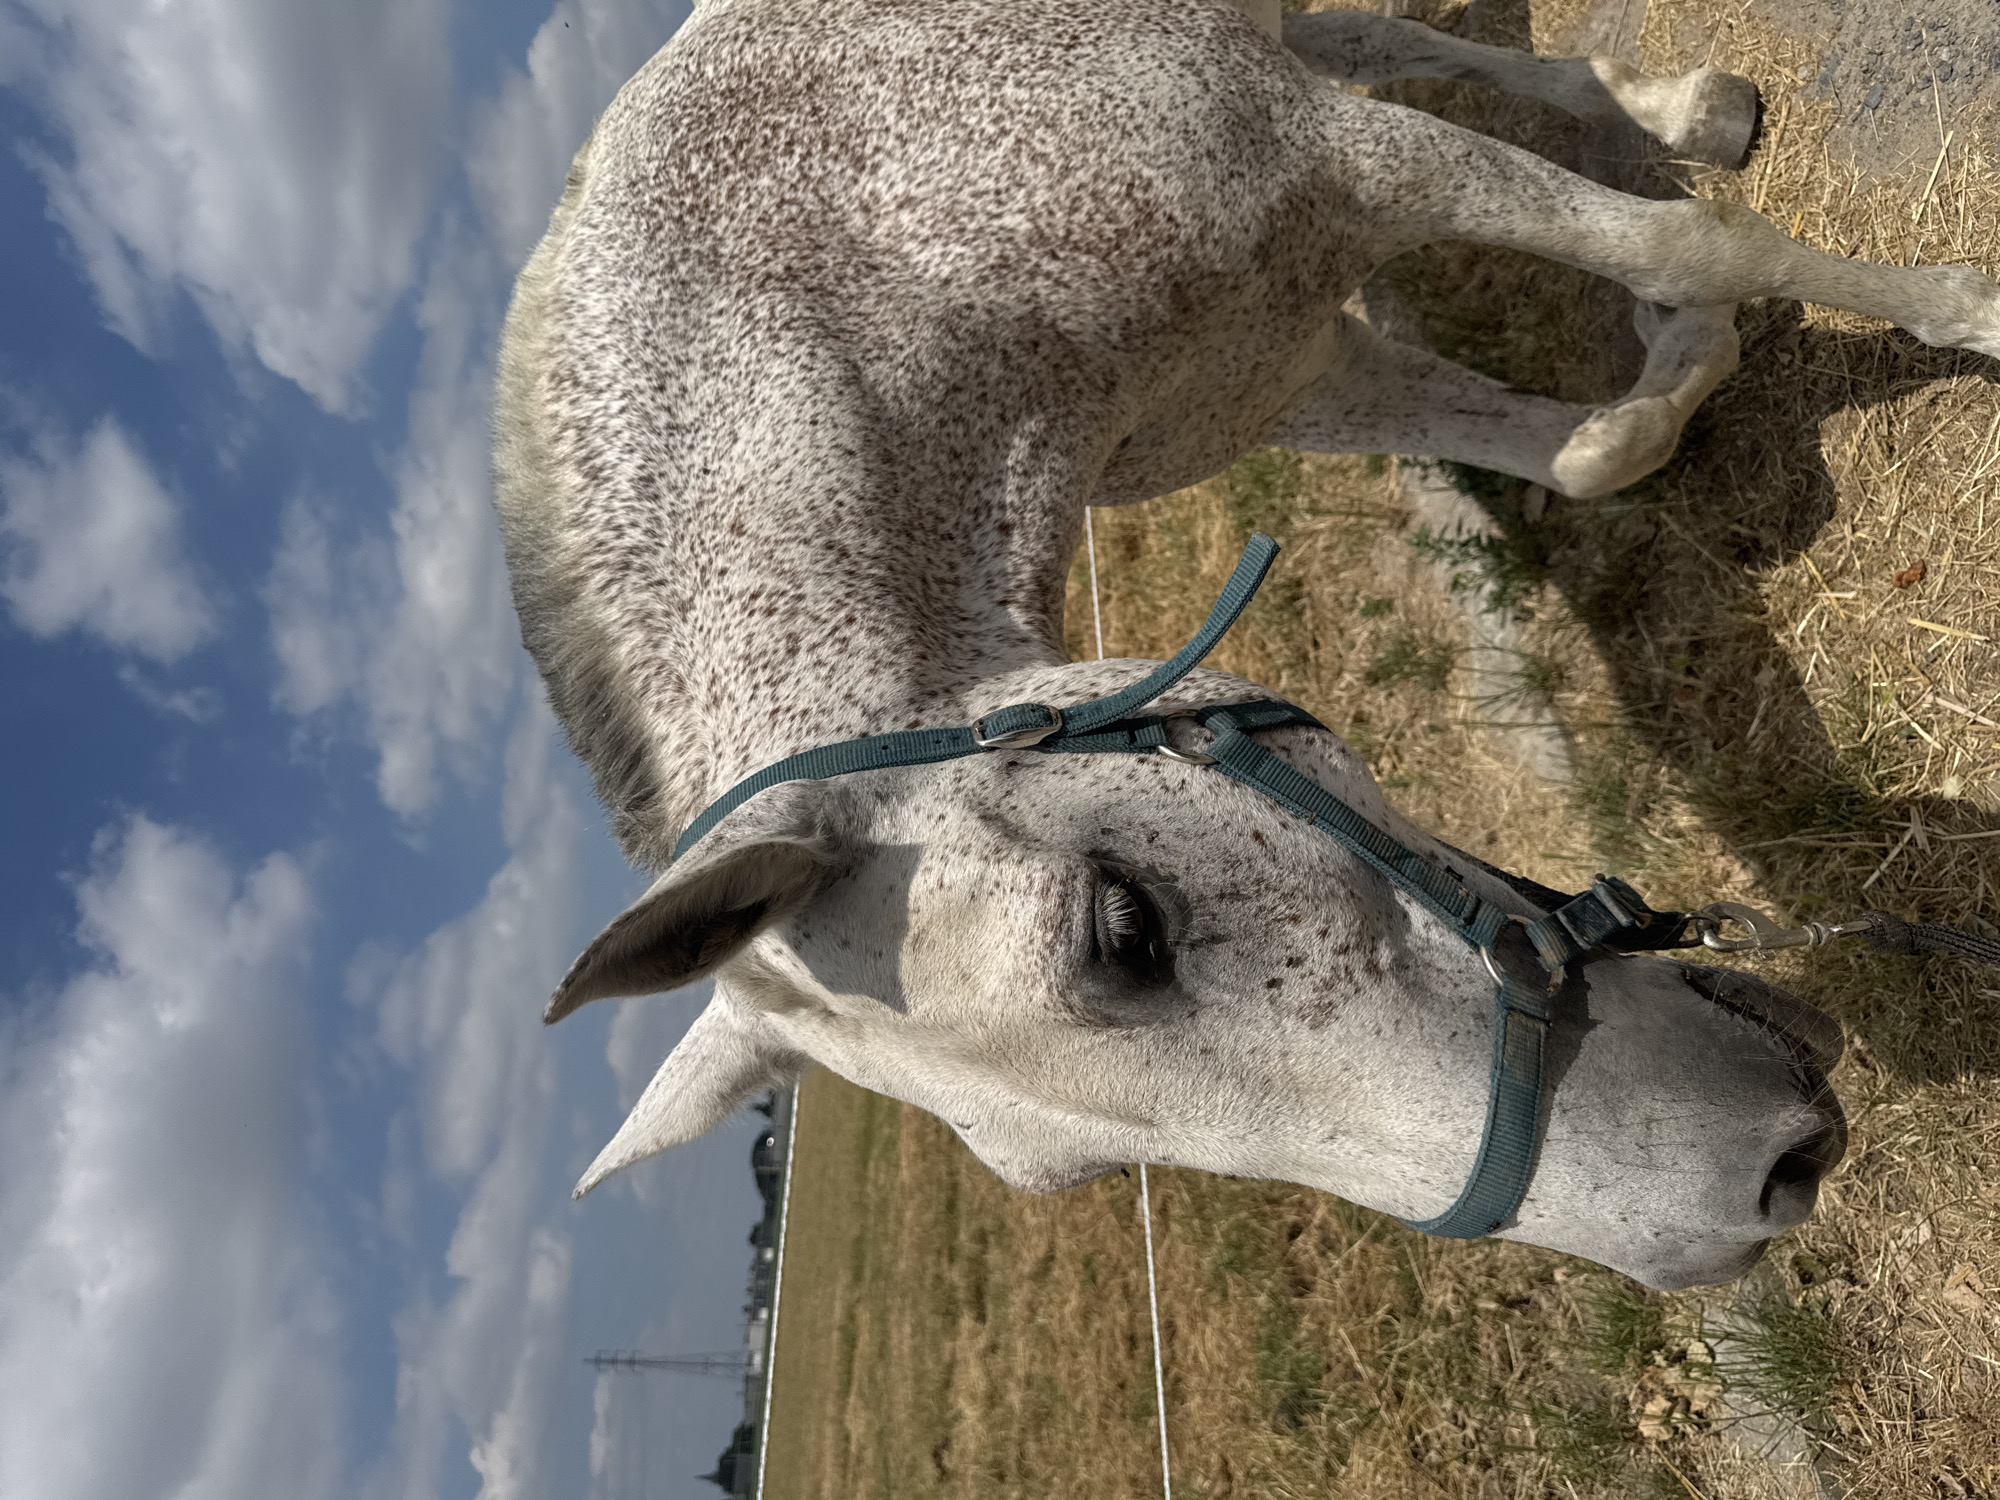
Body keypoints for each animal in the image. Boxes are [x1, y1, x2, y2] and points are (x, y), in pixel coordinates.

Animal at [491, 0, 1998, 1287]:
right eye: (1071, 1177)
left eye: (1123, 927)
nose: (1745, 1194)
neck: (865, 283)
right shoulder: (1289, 366)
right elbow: (1592, 449)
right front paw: (1681, 360)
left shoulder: (1351, 163)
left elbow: (1695, 245)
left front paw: (1962, 308)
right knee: (1362, 37)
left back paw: (1689, 114)